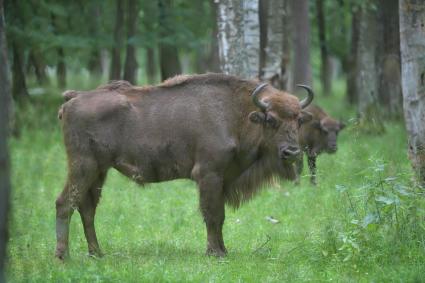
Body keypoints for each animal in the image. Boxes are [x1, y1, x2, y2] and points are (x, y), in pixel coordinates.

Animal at [54, 74, 314, 260]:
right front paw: (215, 253)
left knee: (87, 209)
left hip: (99, 171)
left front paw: (223, 250)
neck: (237, 114)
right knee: (65, 204)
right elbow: (212, 214)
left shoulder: (222, 179)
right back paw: (63, 256)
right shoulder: (209, 175)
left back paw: (97, 254)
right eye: (271, 119)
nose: (291, 152)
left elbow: (220, 216)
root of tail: (73, 99)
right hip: (83, 167)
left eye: (298, 119)